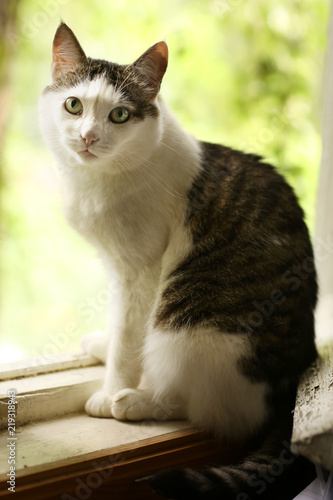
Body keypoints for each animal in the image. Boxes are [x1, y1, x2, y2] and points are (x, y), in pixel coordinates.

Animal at [40, 23, 318, 500]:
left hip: (185, 325)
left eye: (119, 115)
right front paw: (103, 345)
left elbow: (129, 338)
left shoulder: (142, 270)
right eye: (74, 105)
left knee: (201, 406)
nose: (89, 137)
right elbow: (121, 329)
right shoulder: (116, 268)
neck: (95, 183)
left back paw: (134, 401)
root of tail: (291, 384)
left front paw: (111, 390)